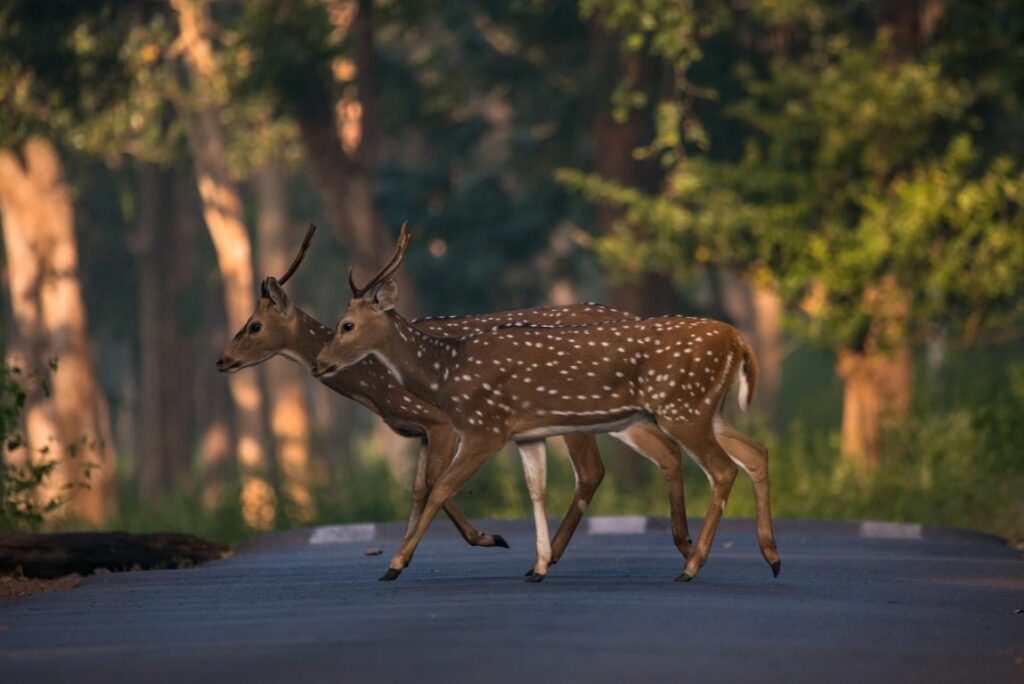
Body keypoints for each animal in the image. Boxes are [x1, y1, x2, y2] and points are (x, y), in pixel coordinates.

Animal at [216, 223, 696, 565]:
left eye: (253, 325)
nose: (221, 360)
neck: (375, 386)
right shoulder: (420, 431)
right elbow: (418, 488)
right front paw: (404, 554)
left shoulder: (441, 421)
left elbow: (433, 484)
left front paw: (486, 538)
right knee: (656, 454)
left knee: (594, 471)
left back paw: (556, 555)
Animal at [315, 225, 778, 581]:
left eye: (346, 325)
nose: (319, 363)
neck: (445, 371)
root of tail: (737, 339)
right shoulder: (526, 434)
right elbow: (535, 490)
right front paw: (537, 565)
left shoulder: (484, 427)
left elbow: (439, 486)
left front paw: (395, 564)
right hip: (706, 409)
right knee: (755, 451)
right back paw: (770, 557)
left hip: (680, 408)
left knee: (721, 469)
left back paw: (693, 565)